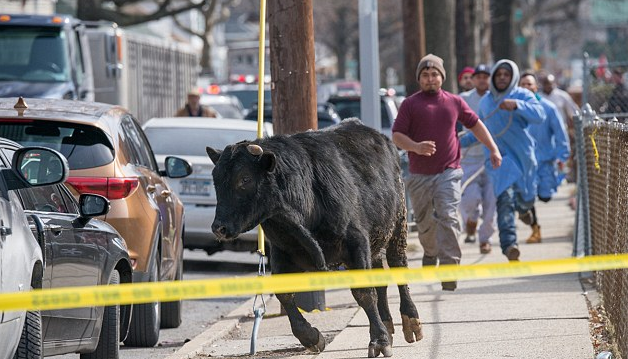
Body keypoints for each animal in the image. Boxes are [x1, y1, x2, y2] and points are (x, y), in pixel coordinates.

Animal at [206, 120, 422, 358]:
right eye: (215, 180)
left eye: (244, 179)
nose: (219, 228)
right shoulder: (282, 253)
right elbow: (284, 295)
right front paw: (310, 337)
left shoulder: (356, 244)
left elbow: (364, 293)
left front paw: (379, 340)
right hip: (376, 244)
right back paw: (387, 324)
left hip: (398, 226)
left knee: (398, 266)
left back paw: (411, 321)